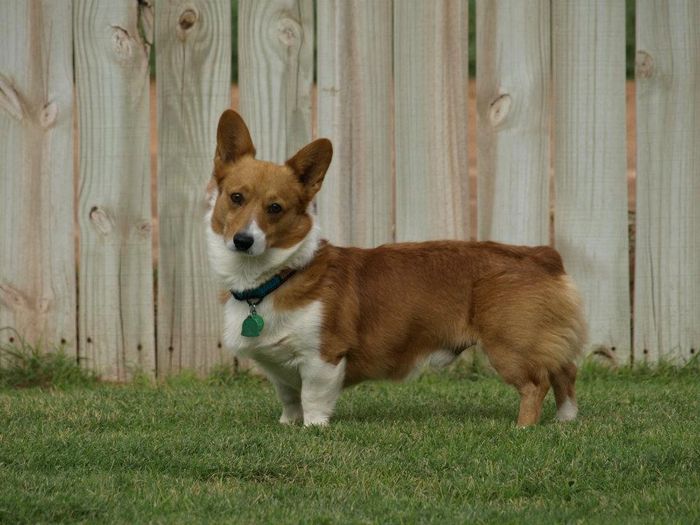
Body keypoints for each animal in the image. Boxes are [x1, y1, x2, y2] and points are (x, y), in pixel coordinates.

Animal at [206, 109, 584, 426]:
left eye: (275, 208)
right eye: (236, 197)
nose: (243, 240)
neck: (276, 278)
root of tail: (542, 255)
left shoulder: (322, 358)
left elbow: (312, 399)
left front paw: (312, 429)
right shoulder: (278, 368)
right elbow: (289, 398)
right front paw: (287, 426)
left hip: (511, 346)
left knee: (537, 383)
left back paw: (524, 428)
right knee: (565, 371)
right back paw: (565, 421)